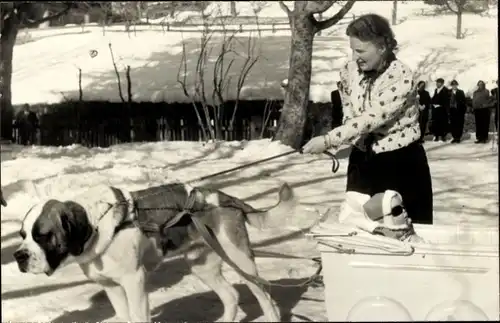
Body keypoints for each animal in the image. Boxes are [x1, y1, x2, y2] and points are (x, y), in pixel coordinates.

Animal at [13, 184, 298, 322]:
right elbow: (124, 315)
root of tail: (226, 198)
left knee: (264, 296)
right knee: (231, 295)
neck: (95, 225)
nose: (19, 256)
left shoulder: (134, 280)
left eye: (42, 235)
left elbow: (139, 316)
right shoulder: (112, 287)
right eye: (22, 235)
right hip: (202, 264)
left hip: (239, 257)